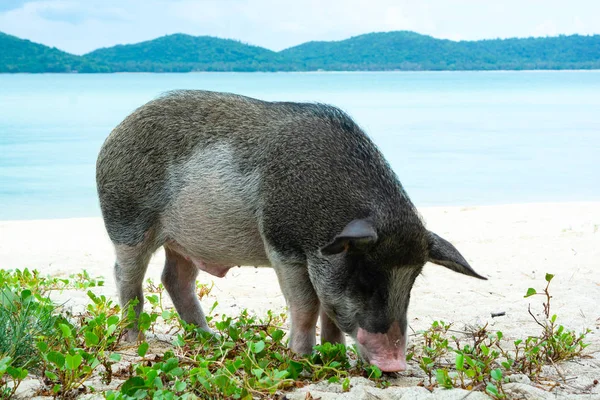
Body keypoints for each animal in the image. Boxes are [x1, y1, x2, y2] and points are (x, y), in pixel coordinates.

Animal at [96, 90, 486, 372]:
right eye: (365, 277)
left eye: (412, 283)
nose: (395, 364)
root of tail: (114, 133)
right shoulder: (282, 244)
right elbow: (307, 304)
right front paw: (301, 358)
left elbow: (329, 309)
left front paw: (334, 357)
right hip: (126, 221)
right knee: (126, 275)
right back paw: (132, 341)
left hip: (185, 241)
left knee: (174, 278)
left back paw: (210, 338)